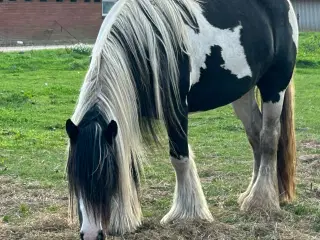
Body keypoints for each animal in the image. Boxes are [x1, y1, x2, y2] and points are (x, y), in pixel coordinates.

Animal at [64, 0, 298, 239]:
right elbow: (127, 162)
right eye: (74, 178)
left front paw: (187, 215)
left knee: (269, 137)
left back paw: (260, 201)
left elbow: (179, 159)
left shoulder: (176, 110)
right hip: (243, 93)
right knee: (255, 135)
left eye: (105, 176)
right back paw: (253, 194)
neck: (148, 46)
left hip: (274, 85)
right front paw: (123, 220)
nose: (91, 234)